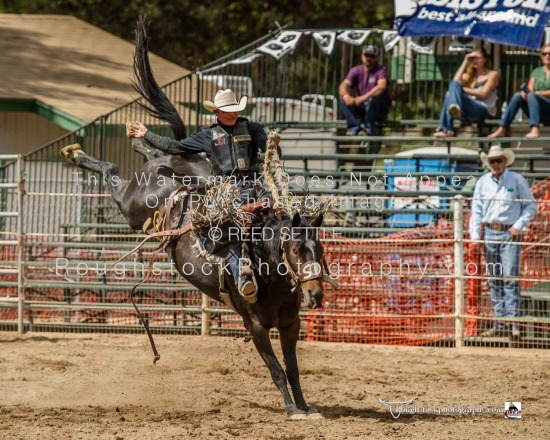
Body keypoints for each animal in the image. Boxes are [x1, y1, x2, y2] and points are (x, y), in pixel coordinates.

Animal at [62, 18, 334, 420]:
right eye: (296, 251)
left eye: (321, 250)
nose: (315, 294)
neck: (269, 272)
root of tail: (173, 168)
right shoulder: (255, 326)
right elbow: (275, 369)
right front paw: (291, 410)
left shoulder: (291, 324)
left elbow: (294, 368)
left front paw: (305, 406)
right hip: (131, 206)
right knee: (112, 167)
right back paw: (79, 152)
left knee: (150, 150)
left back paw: (139, 141)